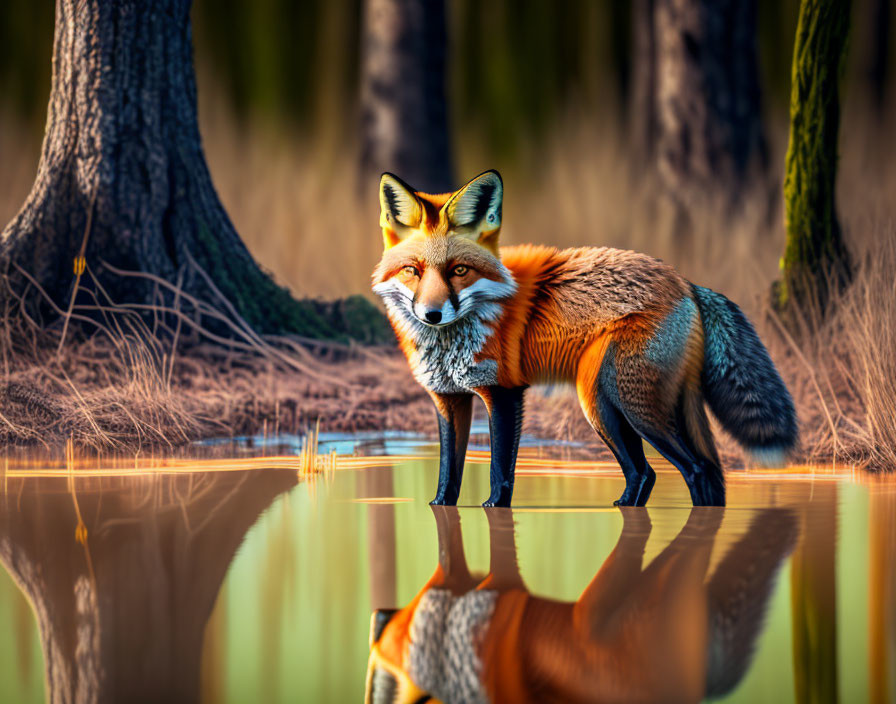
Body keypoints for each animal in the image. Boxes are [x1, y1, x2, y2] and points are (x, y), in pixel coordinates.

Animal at [372, 170, 800, 506]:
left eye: (459, 270)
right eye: (413, 271)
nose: (431, 314)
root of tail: (684, 282)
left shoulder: (504, 393)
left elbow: (500, 472)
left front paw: (495, 512)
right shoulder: (448, 399)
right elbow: (448, 473)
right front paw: (440, 509)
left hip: (623, 406)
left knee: (693, 469)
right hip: (610, 403)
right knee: (655, 472)